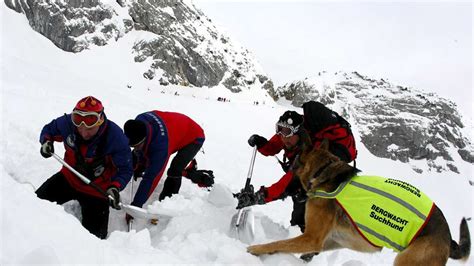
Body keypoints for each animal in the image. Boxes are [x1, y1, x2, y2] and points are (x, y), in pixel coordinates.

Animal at [248, 140, 470, 264]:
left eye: (294, 160)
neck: (323, 172)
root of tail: (448, 238)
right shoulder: (334, 240)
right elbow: (291, 247)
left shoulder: (312, 237)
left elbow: (279, 243)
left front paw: (256, 249)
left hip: (407, 261)